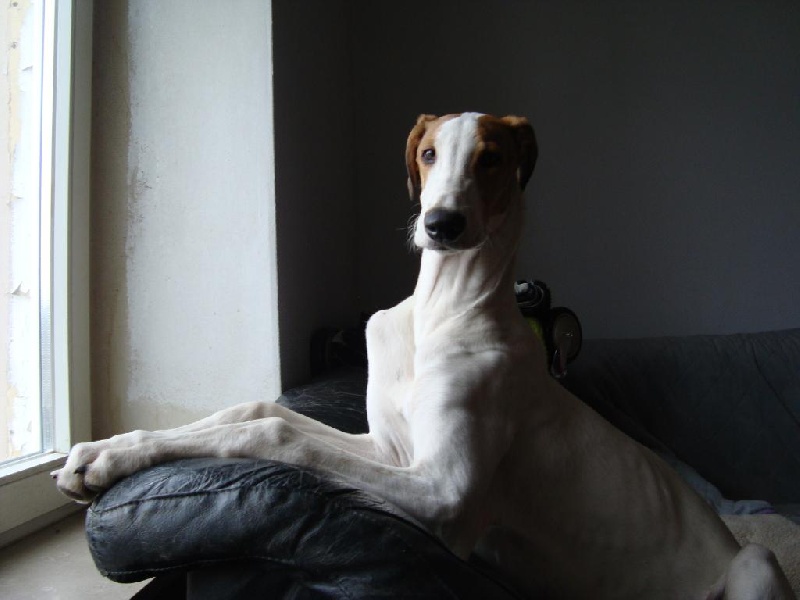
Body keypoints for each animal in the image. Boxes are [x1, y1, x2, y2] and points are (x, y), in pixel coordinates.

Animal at [55, 112, 794, 599]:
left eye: (491, 157)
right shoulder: (391, 450)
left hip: (754, 565)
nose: (441, 225)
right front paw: (103, 456)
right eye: (431, 152)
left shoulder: (443, 492)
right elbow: (259, 409)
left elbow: (272, 433)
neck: (443, 310)